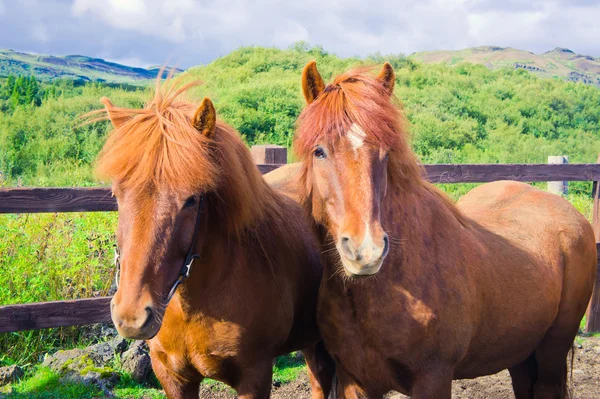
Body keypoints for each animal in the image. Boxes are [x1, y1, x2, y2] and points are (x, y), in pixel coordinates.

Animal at [290, 61, 596, 398]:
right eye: (319, 151)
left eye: (386, 152)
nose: (365, 251)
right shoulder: (353, 380)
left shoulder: (433, 377)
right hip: (520, 352)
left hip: (553, 348)